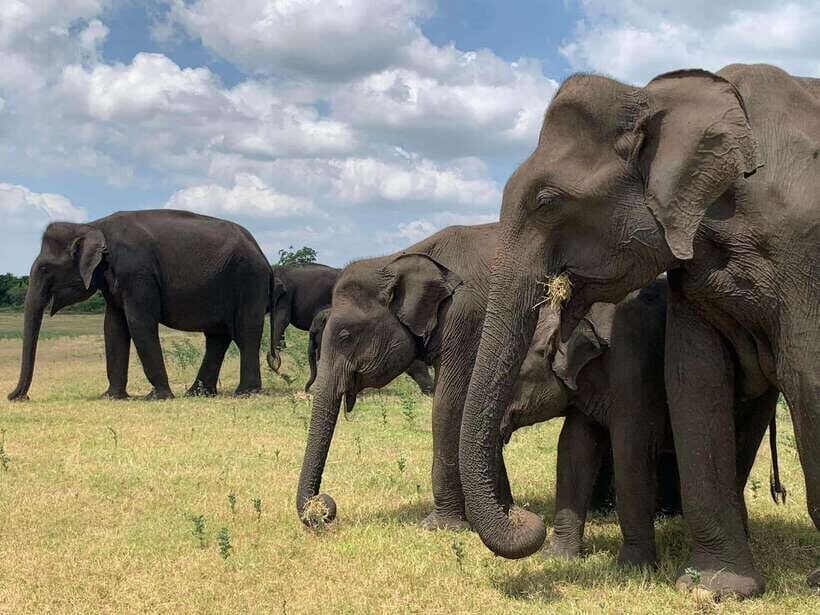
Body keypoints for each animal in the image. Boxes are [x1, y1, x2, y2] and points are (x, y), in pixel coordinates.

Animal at [8, 209, 273, 401]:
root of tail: (261, 252)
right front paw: (111, 397)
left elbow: (139, 322)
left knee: (245, 331)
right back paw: (198, 393)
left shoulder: (136, 272)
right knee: (217, 337)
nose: (17, 397)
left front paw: (157, 397)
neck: (92, 225)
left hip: (249, 279)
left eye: (45, 268)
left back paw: (245, 393)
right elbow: (113, 326)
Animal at [458, 64, 818, 597]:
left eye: (548, 202)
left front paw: (636, 569)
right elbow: (690, 382)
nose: (524, 518)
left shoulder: (804, 251)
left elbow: (806, 374)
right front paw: (715, 587)